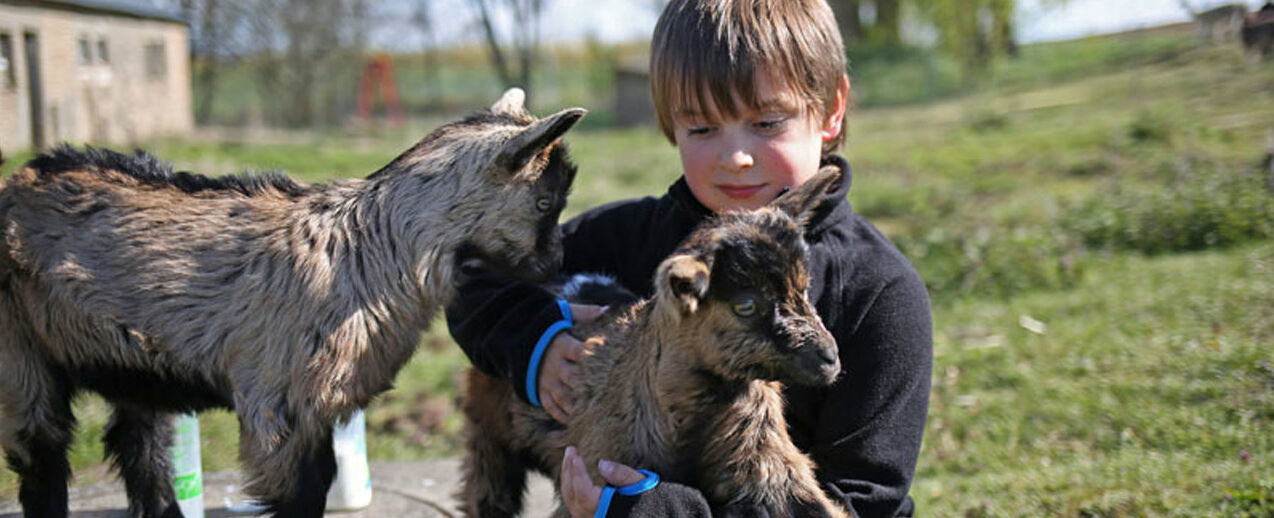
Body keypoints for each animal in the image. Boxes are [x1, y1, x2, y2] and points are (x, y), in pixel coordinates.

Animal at [0, 87, 586, 516]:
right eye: (545, 202)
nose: (557, 261)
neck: (374, 248)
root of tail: (20, 176)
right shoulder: (281, 408)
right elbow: (305, 492)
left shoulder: (317, 407)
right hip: (21, 350)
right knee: (42, 453)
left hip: (135, 365)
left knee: (138, 442)